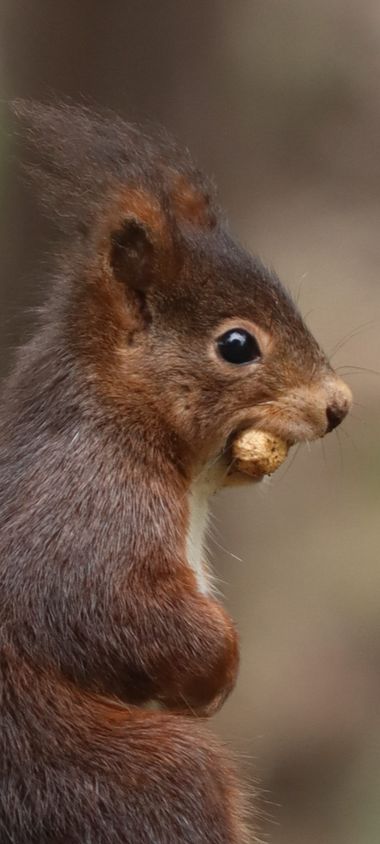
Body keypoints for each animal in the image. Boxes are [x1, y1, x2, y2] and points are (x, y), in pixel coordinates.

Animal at [0, 102, 352, 840]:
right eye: (237, 345)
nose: (339, 407)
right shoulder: (89, 501)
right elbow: (104, 602)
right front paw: (220, 663)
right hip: (135, 780)